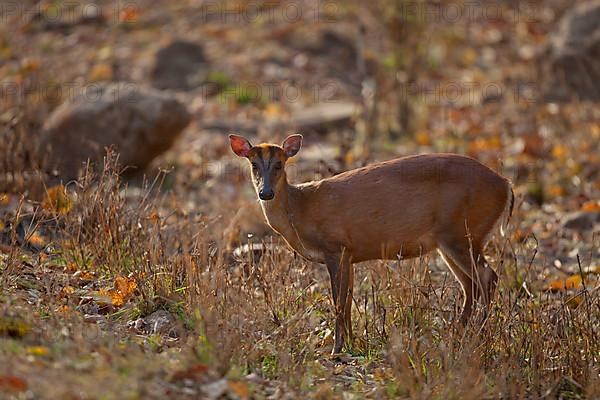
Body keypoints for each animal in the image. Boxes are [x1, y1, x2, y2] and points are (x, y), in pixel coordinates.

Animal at [227, 134, 512, 354]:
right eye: (253, 164)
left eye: (279, 164)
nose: (265, 193)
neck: (301, 208)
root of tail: (506, 185)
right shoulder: (349, 254)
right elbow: (348, 301)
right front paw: (351, 343)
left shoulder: (334, 247)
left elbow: (338, 301)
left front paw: (336, 348)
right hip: (451, 241)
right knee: (470, 285)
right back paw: (458, 332)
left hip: (461, 232)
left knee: (487, 277)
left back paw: (478, 334)